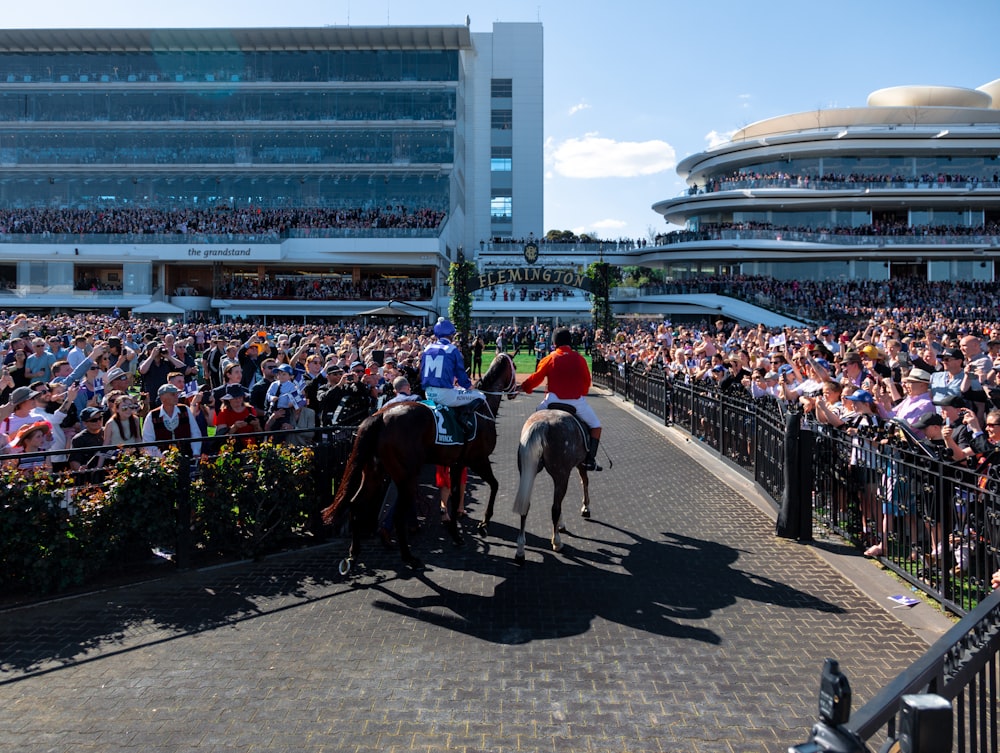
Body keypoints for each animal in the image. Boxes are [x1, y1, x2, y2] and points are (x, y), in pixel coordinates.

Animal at [324, 352, 516, 568]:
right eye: (515, 366)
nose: (514, 392)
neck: (482, 408)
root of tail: (380, 416)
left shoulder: (457, 464)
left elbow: (455, 494)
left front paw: (455, 534)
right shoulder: (478, 459)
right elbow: (494, 485)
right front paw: (483, 524)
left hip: (374, 471)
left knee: (356, 505)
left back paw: (354, 553)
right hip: (406, 476)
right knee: (398, 515)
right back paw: (409, 557)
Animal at [478, 406, 588, 564]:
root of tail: (542, 424)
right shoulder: (580, 463)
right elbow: (584, 481)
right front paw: (585, 507)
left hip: (528, 470)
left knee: (526, 506)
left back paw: (520, 551)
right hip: (561, 473)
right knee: (555, 508)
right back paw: (557, 542)